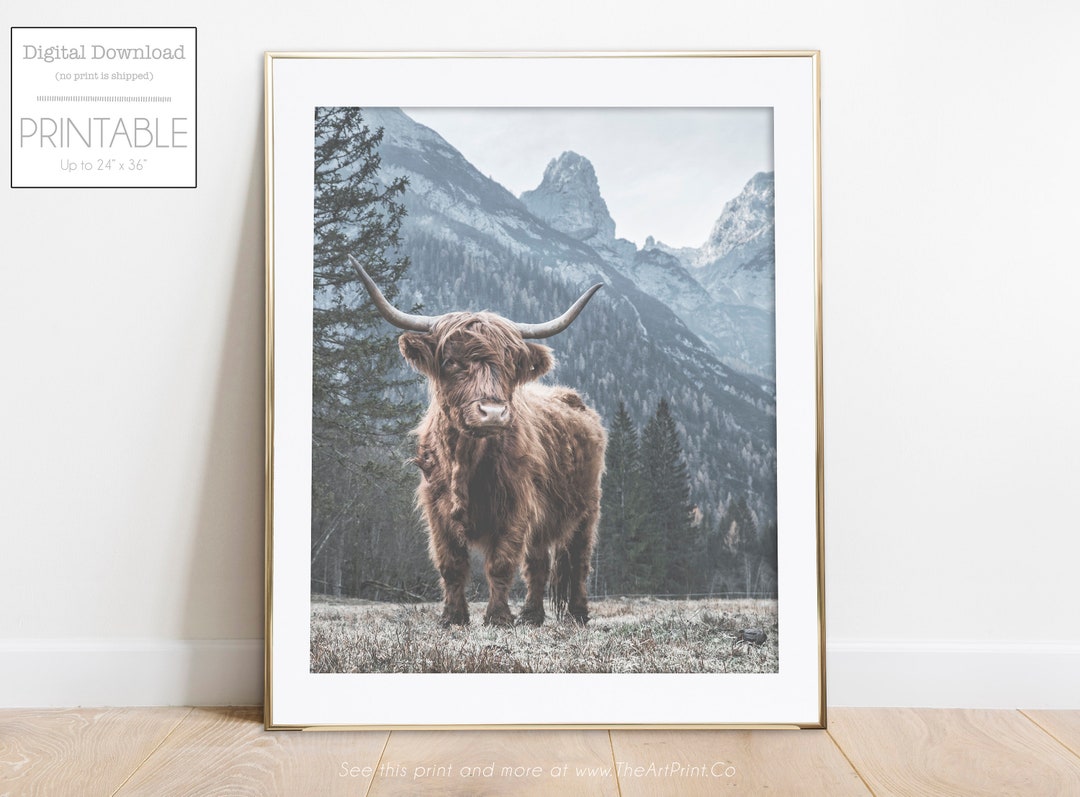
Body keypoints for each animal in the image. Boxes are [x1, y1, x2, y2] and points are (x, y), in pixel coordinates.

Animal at [350, 256, 606, 628]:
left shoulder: (516, 506)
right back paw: (531, 615)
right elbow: (451, 565)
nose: (493, 412)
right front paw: (452, 617)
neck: (466, 460)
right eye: (451, 361)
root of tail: (572, 398)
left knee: (579, 561)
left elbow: (501, 564)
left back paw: (578, 614)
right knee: (539, 564)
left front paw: (497, 617)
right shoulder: (437, 510)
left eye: (510, 364)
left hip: (587, 509)